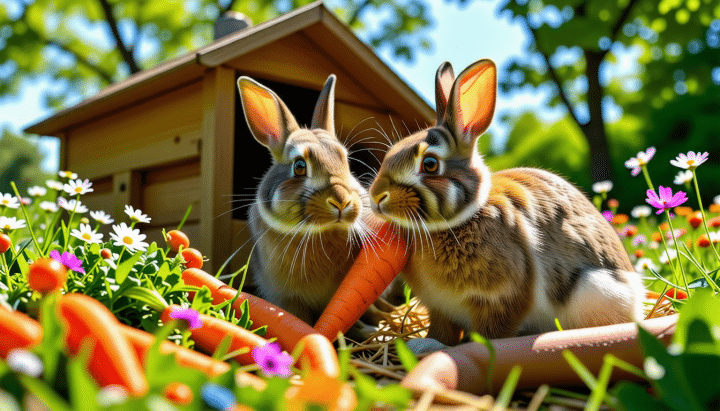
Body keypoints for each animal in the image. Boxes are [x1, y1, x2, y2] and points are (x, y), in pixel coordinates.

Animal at [368, 59, 646, 346]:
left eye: (430, 164)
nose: (376, 196)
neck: (463, 218)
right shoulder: (440, 308)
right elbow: (442, 332)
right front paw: (424, 344)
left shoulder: (504, 298)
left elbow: (492, 331)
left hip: (591, 288)